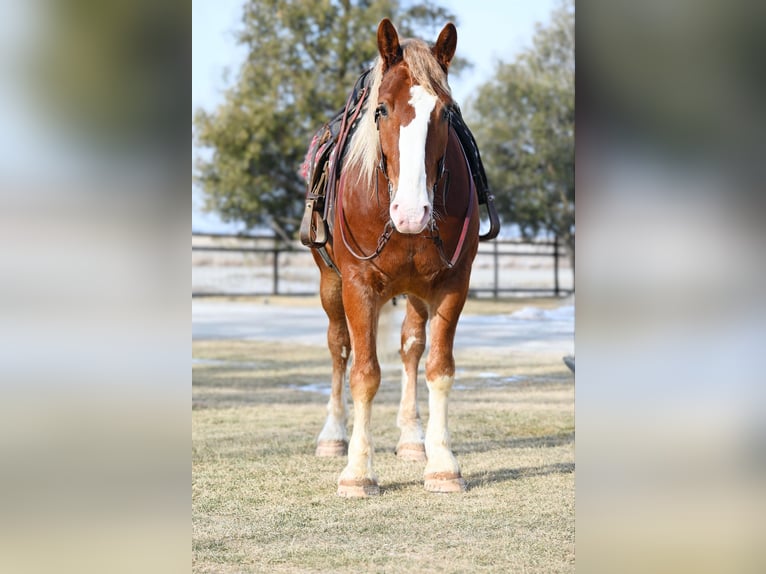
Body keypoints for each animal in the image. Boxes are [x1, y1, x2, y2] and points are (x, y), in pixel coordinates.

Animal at [308, 20, 476, 498]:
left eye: (446, 113)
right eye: (381, 110)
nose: (412, 212)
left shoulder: (452, 285)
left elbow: (439, 368)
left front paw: (442, 463)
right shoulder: (358, 287)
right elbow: (363, 374)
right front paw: (358, 471)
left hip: (417, 293)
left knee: (411, 348)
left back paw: (413, 439)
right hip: (330, 286)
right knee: (339, 348)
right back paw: (333, 436)